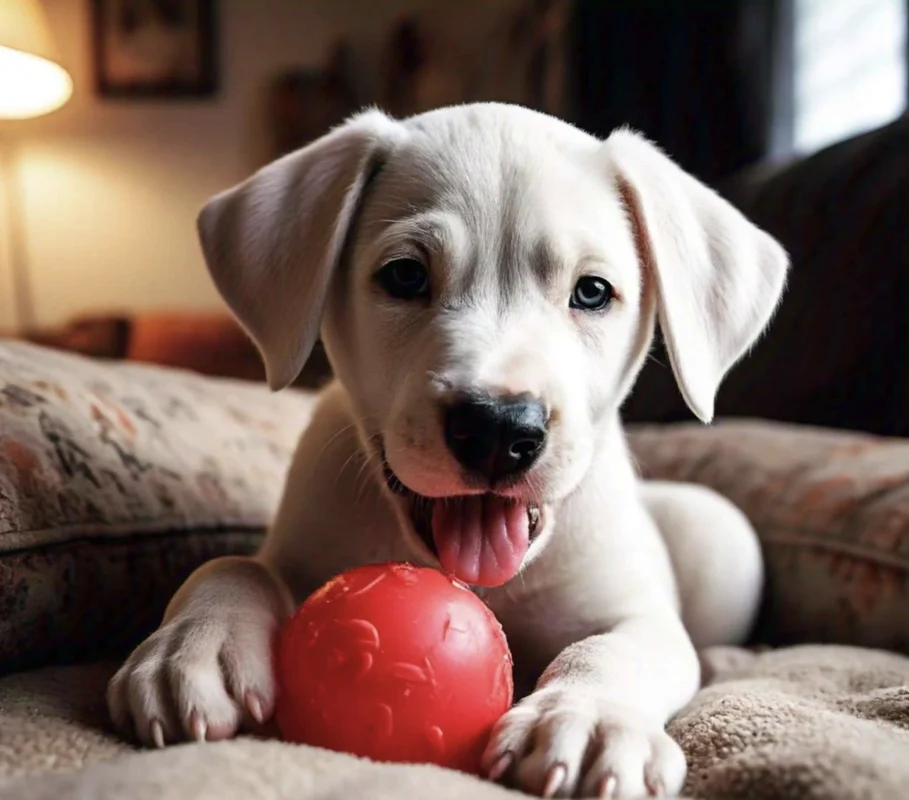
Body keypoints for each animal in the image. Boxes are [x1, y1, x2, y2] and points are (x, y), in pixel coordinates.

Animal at [106, 103, 788, 796]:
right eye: (405, 275)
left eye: (593, 291)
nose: (498, 430)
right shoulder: (295, 552)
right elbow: (234, 565)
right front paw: (193, 646)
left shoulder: (635, 613)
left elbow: (617, 647)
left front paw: (586, 717)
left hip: (720, 533)